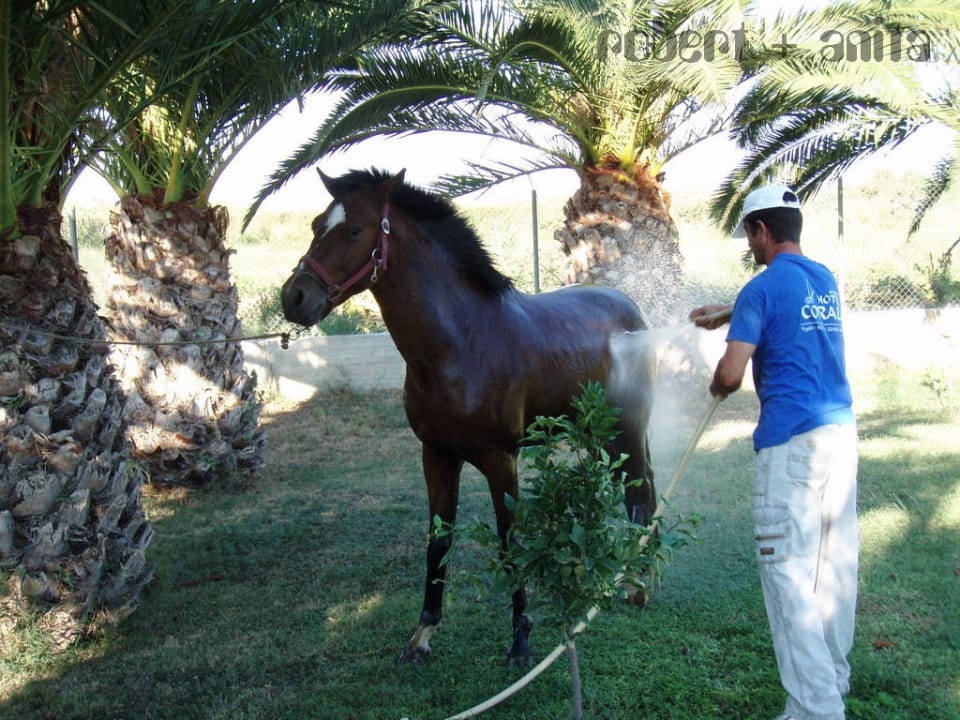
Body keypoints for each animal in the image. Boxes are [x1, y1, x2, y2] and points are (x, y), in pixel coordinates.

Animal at [280, 168, 657, 665]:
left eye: (355, 230)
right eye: (315, 225)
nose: (294, 297)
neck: (459, 344)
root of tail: (633, 310)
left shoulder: (501, 459)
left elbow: (509, 542)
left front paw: (520, 641)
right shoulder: (437, 456)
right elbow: (438, 541)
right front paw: (422, 635)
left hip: (626, 433)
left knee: (640, 497)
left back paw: (640, 586)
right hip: (597, 436)